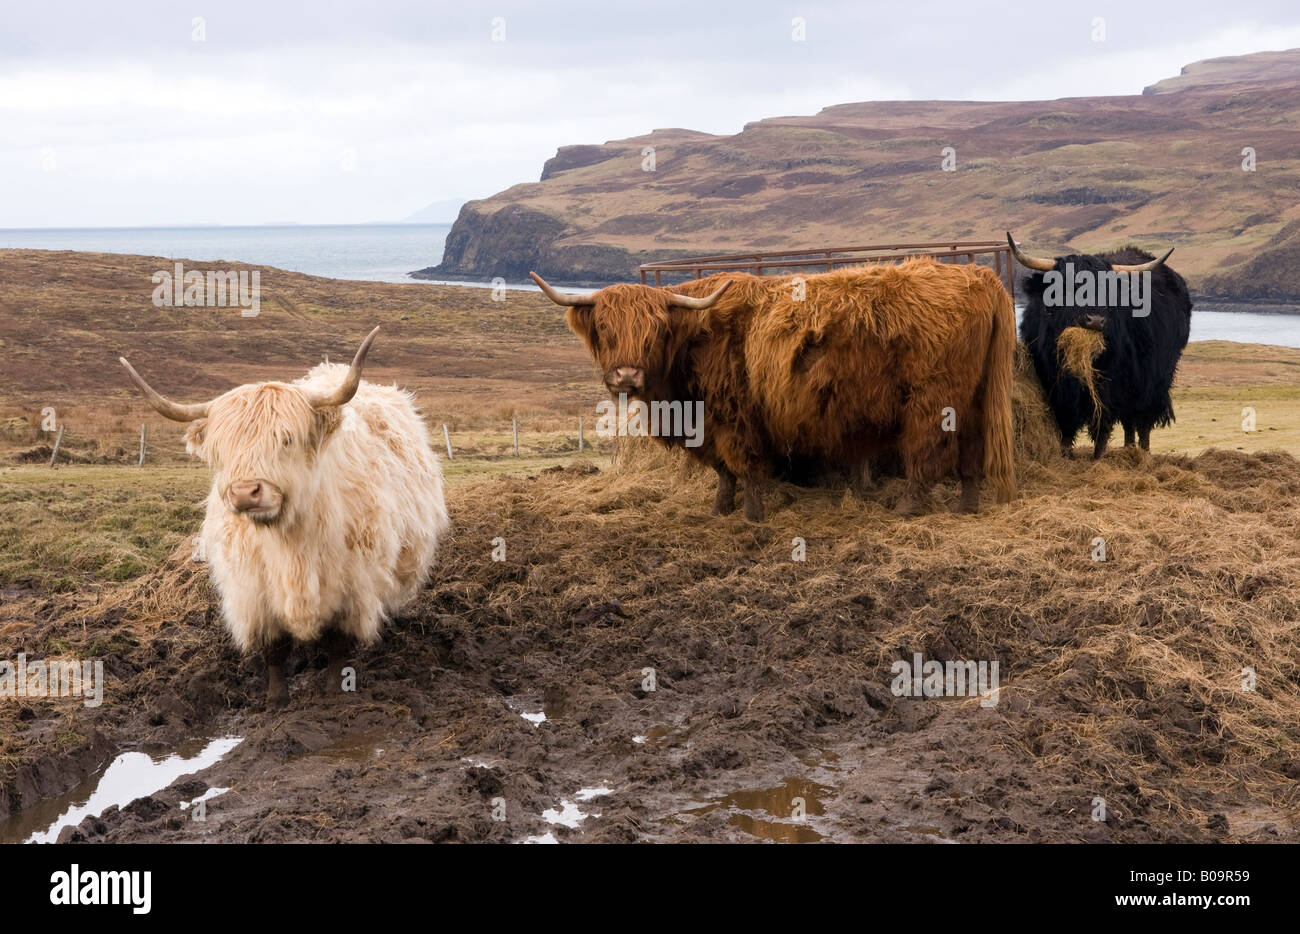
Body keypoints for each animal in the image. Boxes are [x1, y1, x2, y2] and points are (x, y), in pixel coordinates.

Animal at [119, 328, 449, 708]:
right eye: (222, 448)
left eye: (286, 439)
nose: (244, 492)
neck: (289, 542)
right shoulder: (254, 594)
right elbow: (274, 649)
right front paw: (276, 700)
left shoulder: (354, 589)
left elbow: (339, 645)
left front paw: (334, 694)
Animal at [532, 258, 1016, 521]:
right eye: (605, 329)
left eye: (655, 332)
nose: (627, 377)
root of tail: (977, 274)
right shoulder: (708, 424)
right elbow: (723, 471)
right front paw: (720, 509)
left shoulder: (735, 417)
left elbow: (746, 467)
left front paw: (751, 515)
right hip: (972, 401)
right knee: (971, 455)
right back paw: (967, 507)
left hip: (932, 402)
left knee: (926, 455)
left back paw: (907, 507)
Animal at [1008, 232, 1193, 458]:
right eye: (1068, 287)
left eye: (1107, 290)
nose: (1095, 320)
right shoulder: (1054, 385)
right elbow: (1066, 426)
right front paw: (1065, 456)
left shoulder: (1110, 387)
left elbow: (1102, 426)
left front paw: (1097, 459)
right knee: (1130, 422)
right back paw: (1128, 450)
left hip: (1156, 380)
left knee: (1143, 421)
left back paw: (1143, 455)